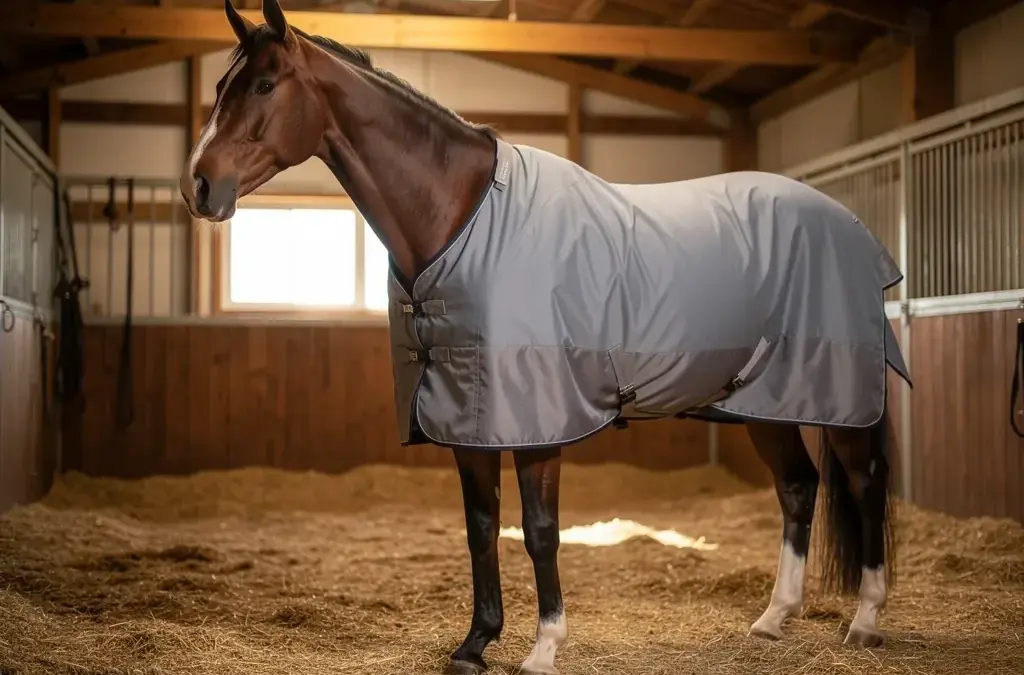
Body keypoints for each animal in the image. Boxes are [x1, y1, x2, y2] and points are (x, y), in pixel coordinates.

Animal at [180, 2, 908, 673]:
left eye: (265, 84)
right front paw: (476, 643)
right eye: (220, 85)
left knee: (864, 483)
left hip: (836, 398)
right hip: (764, 401)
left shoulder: (537, 422)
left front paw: (543, 647)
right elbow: (480, 528)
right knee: (798, 487)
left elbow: (538, 531)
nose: (199, 186)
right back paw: (773, 618)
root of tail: (851, 228)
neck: (461, 216)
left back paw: (866, 620)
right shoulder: (466, 416)